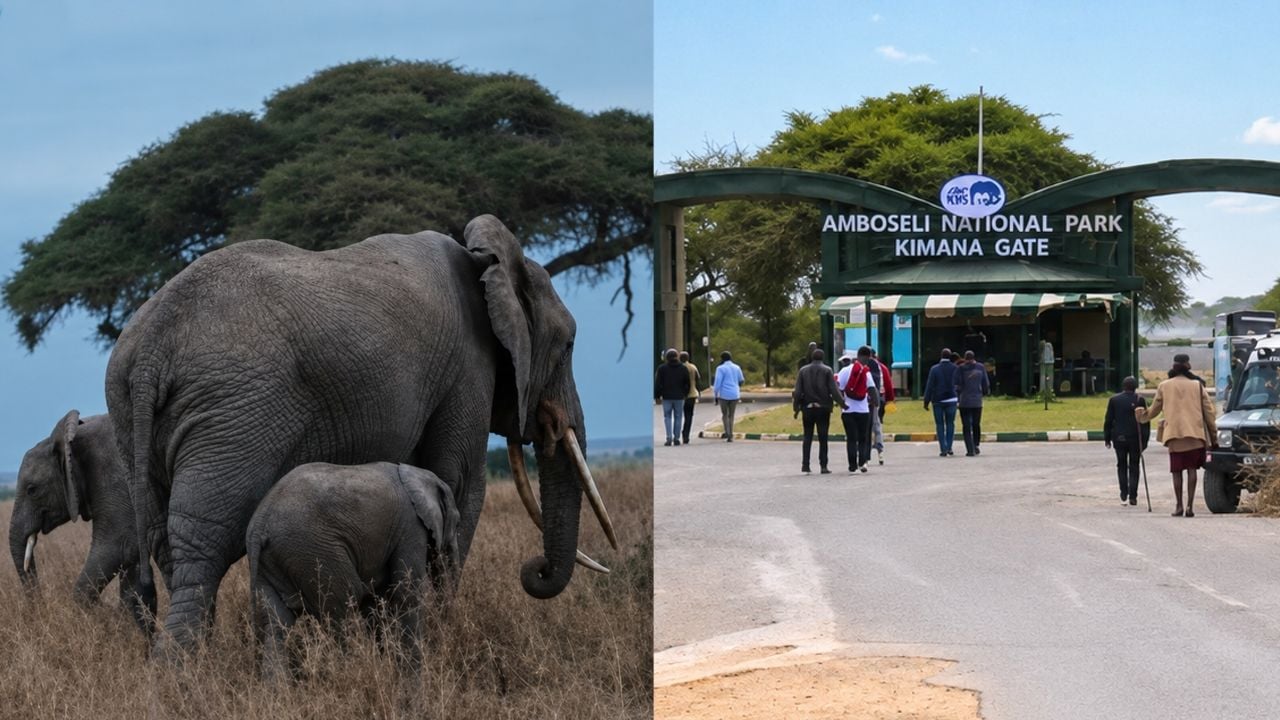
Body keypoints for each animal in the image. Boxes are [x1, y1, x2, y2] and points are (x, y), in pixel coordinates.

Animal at [106, 214, 616, 655]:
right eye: (568, 344)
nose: (535, 570)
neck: (488, 263)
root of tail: (150, 348)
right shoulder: (467, 369)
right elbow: (461, 484)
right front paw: (442, 634)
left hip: (130, 419)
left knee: (167, 544)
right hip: (234, 413)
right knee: (204, 547)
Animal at [246, 461, 459, 680]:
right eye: (457, 522)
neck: (419, 475)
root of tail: (259, 527)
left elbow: (374, 602)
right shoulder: (411, 526)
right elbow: (406, 594)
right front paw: (410, 674)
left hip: (272, 563)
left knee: (276, 624)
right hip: (315, 553)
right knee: (342, 611)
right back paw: (352, 671)